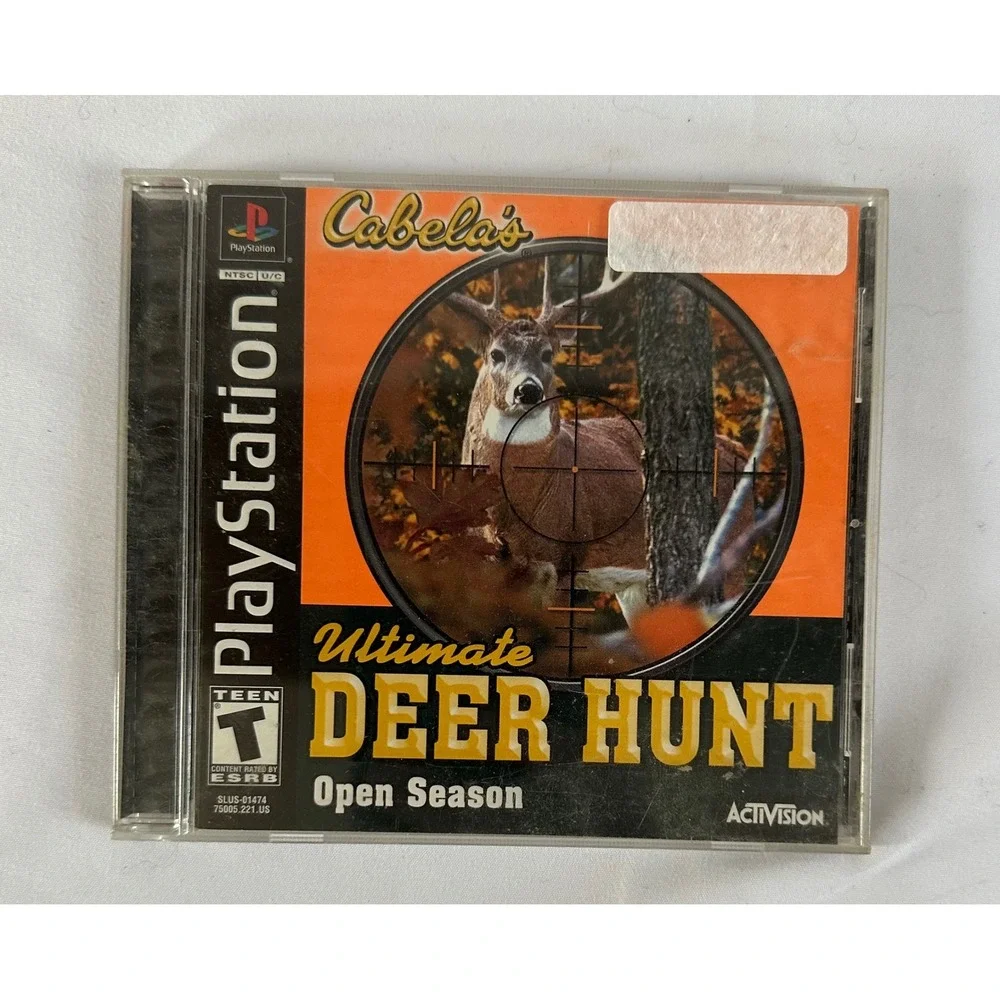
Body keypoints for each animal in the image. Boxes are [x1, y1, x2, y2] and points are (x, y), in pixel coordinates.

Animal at [444, 257, 761, 630]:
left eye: (548, 354)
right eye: (496, 354)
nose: (528, 390)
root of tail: (739, 450)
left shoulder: (560, 560)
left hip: (732, 549)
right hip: (636, 586)